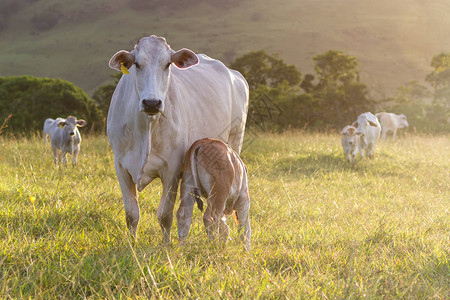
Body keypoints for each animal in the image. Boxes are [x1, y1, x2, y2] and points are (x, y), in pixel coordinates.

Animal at [107, 35, 251, 244]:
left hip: (234, 143)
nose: (152, 103)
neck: (145, 129)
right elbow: (132, 214)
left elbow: (165, 215)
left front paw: (166, 245)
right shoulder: (120, 166)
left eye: (167, 64)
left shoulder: (172, 169)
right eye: (137, 64)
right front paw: (132, 244)